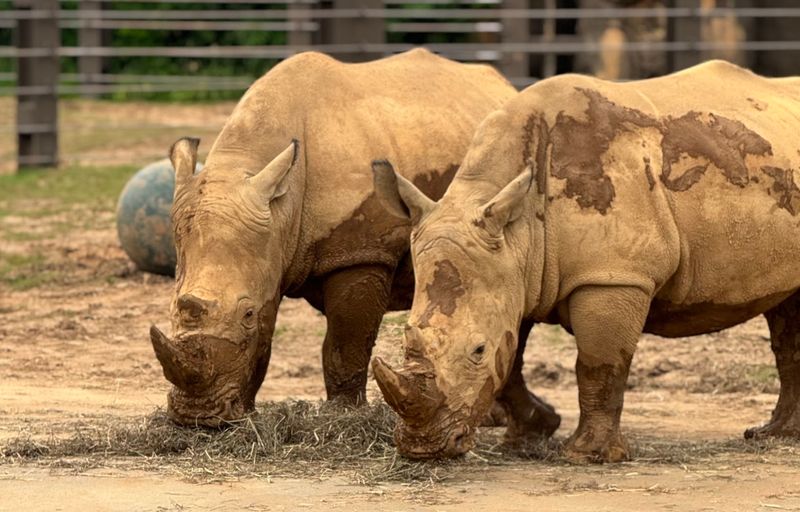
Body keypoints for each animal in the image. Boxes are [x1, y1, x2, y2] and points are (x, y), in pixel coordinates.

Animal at [149, 49, 560, 437]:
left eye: (247, 314)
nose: (196, 418)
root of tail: (505, 86)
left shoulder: (361, 254)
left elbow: (344, 344)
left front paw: (343, 415)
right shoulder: (271, 251)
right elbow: (267, 336)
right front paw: (242, 416)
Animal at [372, 60, 800, 461]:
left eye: (477, 351)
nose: (423, 449)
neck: (517, 227)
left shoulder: (613, 275)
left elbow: (598, 363)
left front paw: (585, 456)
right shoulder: (514, 271)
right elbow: (511, 356)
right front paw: (526, 437)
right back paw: (774, 436)